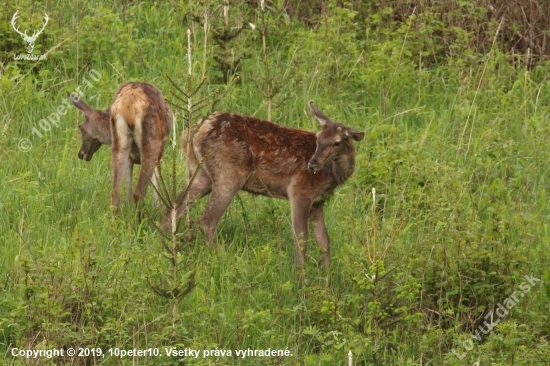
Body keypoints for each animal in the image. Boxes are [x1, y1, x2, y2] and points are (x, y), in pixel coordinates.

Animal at [73, 82, 172, 210]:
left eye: (80, 127)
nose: (81, 154)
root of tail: (129, 104)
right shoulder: (159, 153)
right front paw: (157, 207)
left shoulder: (130, 157)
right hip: (152, 142)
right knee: (138, 192)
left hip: (120, 144)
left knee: (115, 192)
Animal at [162, 101, 364, 268]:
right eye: (318, 138)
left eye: (336, 142)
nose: (312, 164)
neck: (332, 176)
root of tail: (195, 131)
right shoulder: (299, 191)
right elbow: (301, 239)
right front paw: (301, 278)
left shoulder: (318, 202)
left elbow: (324, 241)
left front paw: (327, 279)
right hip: (229, 173)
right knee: (207, 219)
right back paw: (221, 258)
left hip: (202, 175)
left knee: (174, 206)